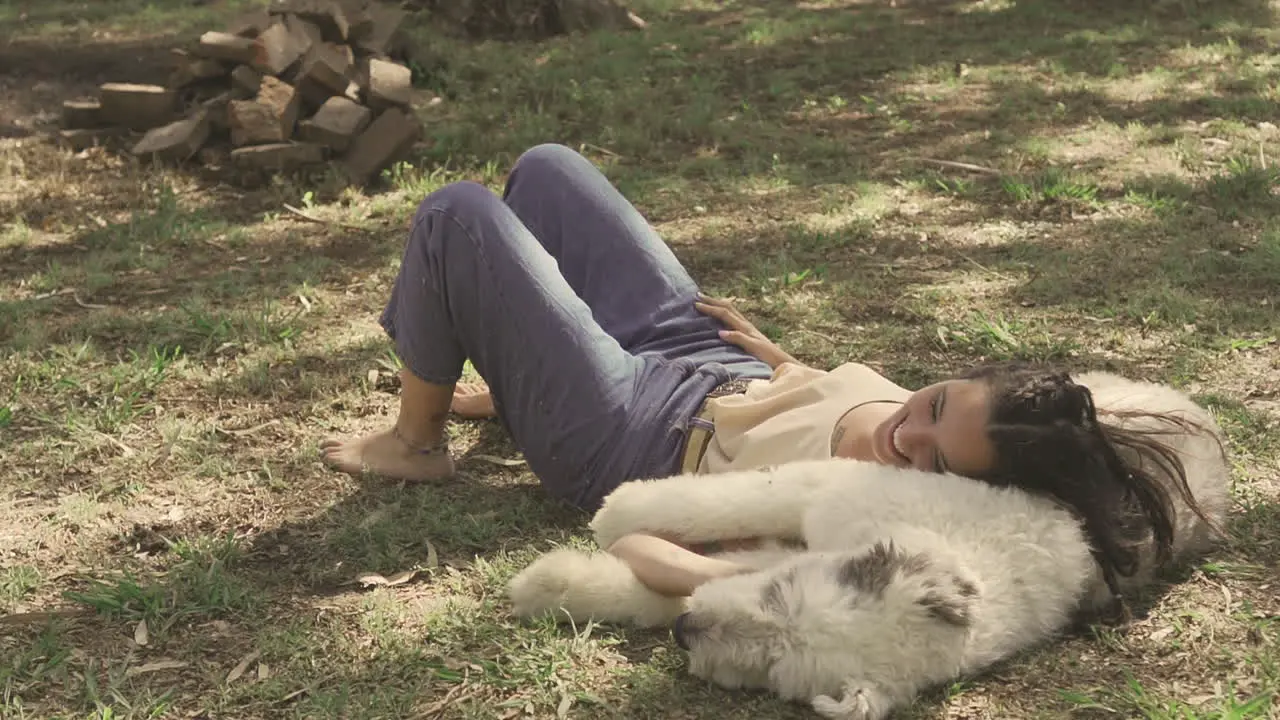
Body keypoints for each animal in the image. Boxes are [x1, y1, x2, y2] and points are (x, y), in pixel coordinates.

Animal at [506, 371, 1228, 712]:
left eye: (773, 672)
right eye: (780, 597)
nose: (688, 634)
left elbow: (679, 578)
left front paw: (553, 582)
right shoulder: (828, 489)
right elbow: (732, 500)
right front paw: (615, 515)